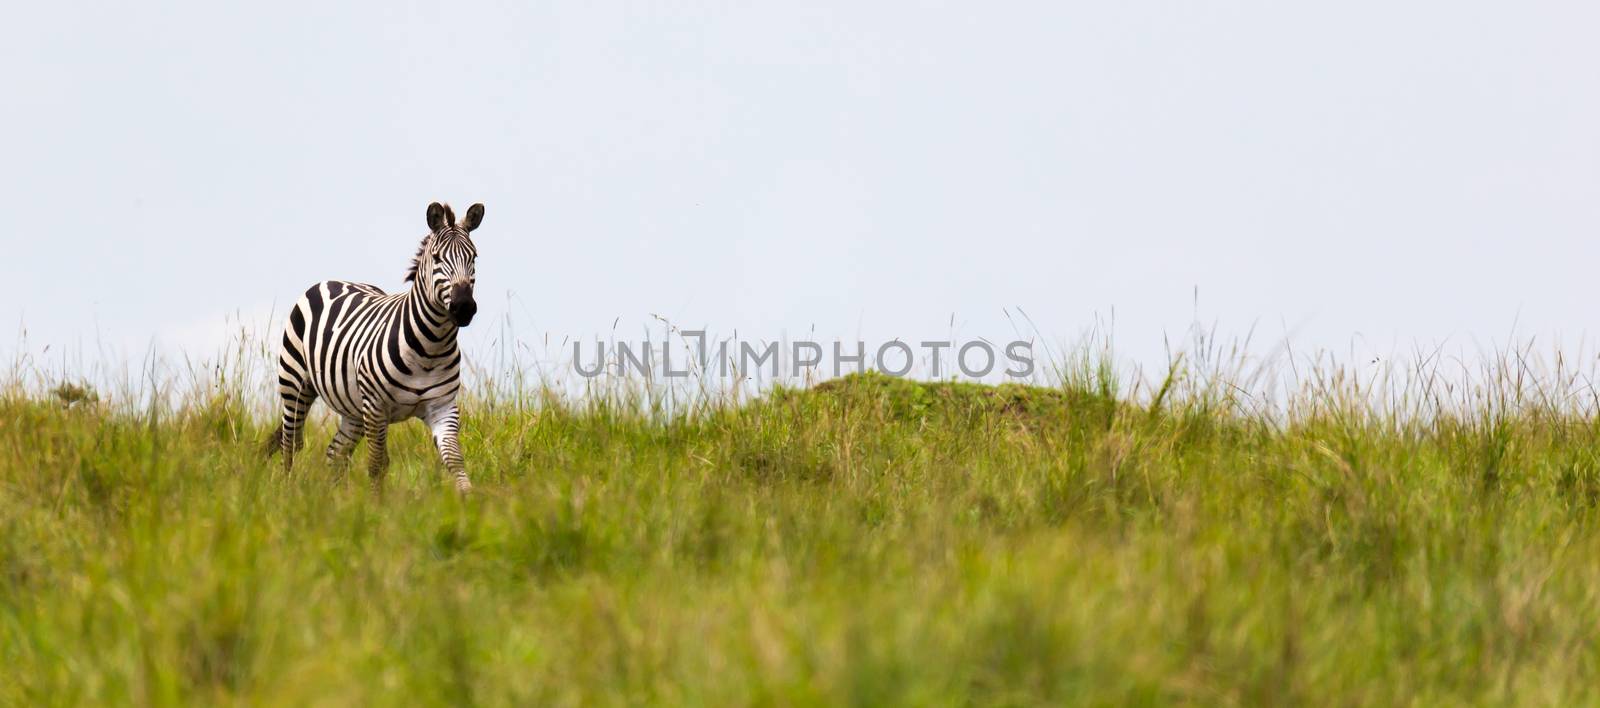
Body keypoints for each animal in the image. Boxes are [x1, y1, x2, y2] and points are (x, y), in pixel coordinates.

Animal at [272, 200, 483, 493]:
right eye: (438, 258)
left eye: (473, 258)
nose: (464, 307)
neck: (430, 348)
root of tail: (333, 280)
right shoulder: (376, 406)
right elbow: (377, 463)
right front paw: (376, 503)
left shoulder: (442, 406)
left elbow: (454, 458)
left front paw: (468, 498)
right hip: (295, 384)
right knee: (290, 443)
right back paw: (289, 490)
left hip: (353, 407)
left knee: (335, 453)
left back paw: (332, 498)